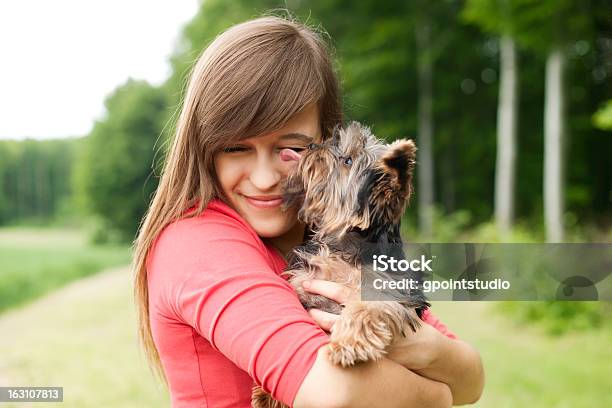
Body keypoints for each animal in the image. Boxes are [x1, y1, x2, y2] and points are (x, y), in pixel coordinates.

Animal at [251, 121, 428, 408]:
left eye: (347, 161)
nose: (313, 146)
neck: (344, 244)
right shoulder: (304, 282)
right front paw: (267, 393)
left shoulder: (386, 288)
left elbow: (363, 309)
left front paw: (348, 344)